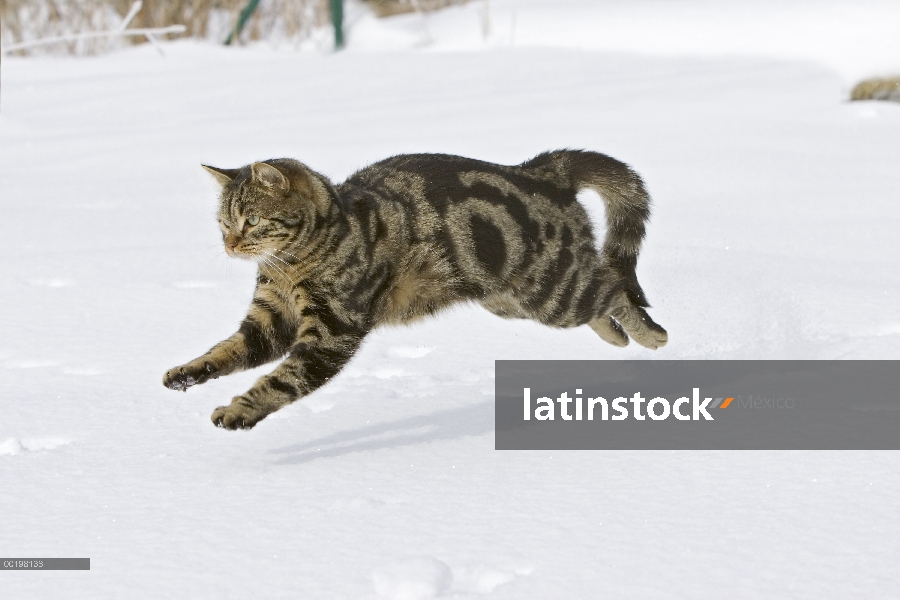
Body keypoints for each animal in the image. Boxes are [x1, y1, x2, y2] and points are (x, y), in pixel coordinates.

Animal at [162, 152, 668, 428]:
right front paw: (187, 372)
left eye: (251, 220)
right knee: (602, 293)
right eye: (223, 222)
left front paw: (240, 410)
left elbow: (281, 380)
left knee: (616, 286)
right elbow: (225, 351)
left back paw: (650, 335)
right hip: (514, 300)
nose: (229, 244)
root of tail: (540, 171)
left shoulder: (330, 331)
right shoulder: (270, 319)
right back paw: (616, 335)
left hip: (553, 291)